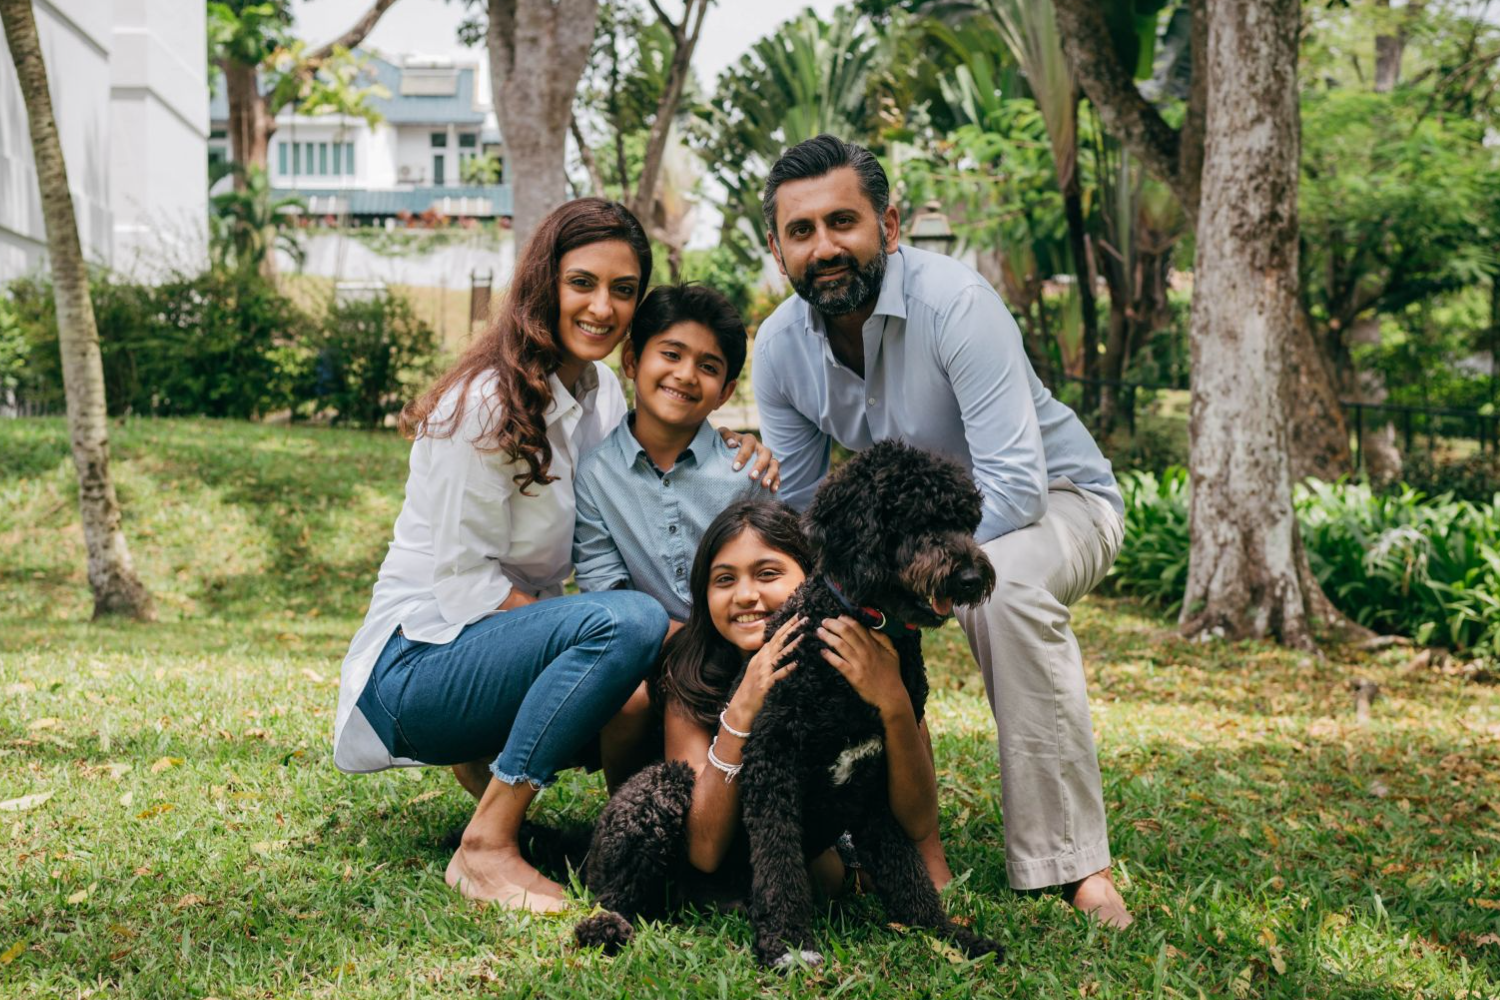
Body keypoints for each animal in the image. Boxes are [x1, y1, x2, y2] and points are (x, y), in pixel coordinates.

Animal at [576, 440, 1008, 971]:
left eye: (964, 521)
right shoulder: (774, 762)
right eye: (915, 519)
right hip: (662, 787)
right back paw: (605, 925)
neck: (856, 620)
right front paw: (788, 943)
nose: (969, 576)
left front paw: (949, 935)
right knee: (613, 889)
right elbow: (778, 859)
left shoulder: (877, 774)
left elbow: (907, 871)